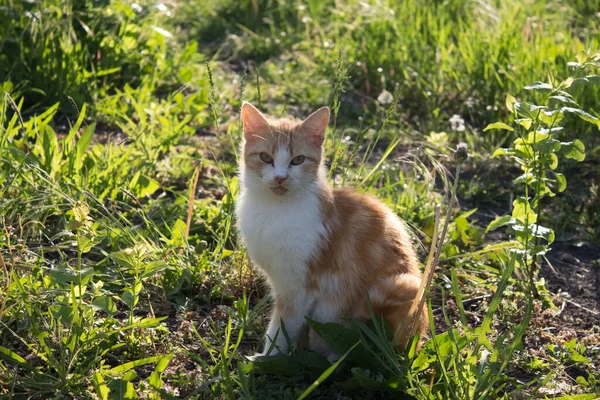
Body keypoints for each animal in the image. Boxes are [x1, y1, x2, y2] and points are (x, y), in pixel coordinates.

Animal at [234, 101, 426, 360]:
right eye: (265, 157)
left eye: (298, 160)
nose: (280, 178)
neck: (275, 209)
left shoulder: (299, 286)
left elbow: (282, 326)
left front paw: (267, 358)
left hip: (406, 286)